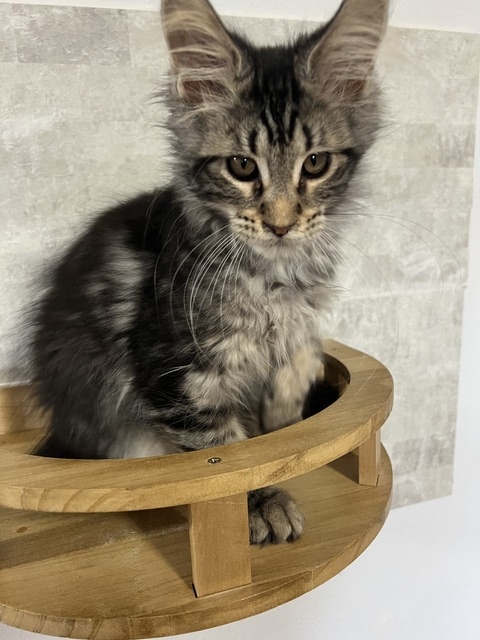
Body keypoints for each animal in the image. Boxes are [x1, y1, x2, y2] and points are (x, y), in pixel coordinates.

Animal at [31, 0, 388, 545]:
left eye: (316, 164)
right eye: (241, 166)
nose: (281, 223)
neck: (273, 272)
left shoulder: (289, 343)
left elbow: (283, 407)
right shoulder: (179, 374)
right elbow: (227, 458)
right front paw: (259, 505)